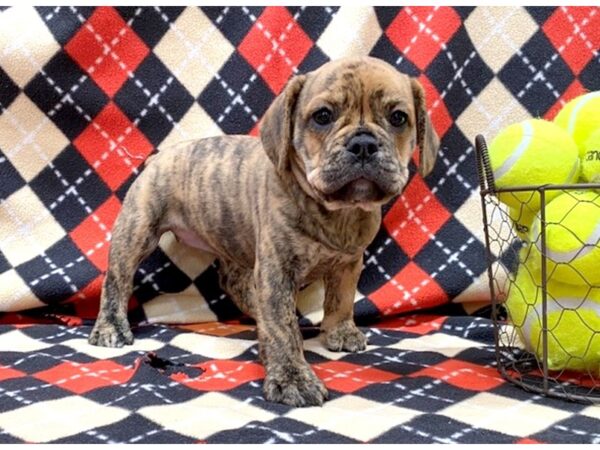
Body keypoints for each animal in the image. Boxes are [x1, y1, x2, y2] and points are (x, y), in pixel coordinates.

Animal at [88, 56, 436, 408]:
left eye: (398, 118)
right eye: (322, 116)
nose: (363, 143)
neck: (336, 212)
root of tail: (160, 156)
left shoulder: (349, 262)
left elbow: (341, 299)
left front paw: (339, 331)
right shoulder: (277, 270)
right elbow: (280, 327)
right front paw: (292, 377)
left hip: (234, 239)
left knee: (236, 284)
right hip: (137, 230)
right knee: (117, 279)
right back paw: (110, 328)